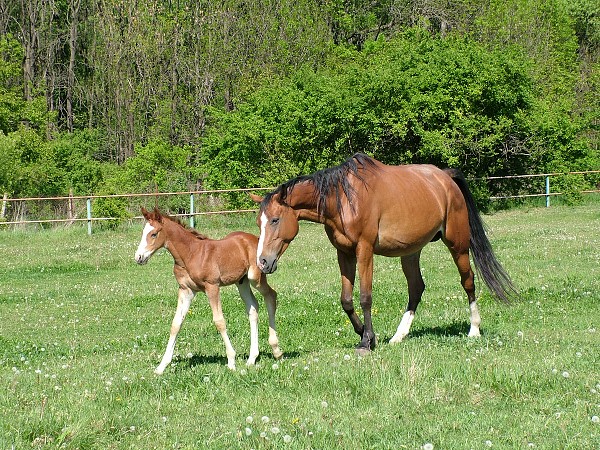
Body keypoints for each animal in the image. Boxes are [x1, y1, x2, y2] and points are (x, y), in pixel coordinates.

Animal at [135, 207, 282, 372]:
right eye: (143, 232)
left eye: (154, 234)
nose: (139, 257)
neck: (190, 254)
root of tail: (255, 239)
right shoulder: (185, 290)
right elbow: (176, 324)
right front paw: (161, 366)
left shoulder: (212, 287)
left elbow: (219, 321)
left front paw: (231, 361)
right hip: (241, 282)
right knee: (253, 307)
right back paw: (252, 358)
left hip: (255, 278)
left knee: (271, 295)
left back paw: (276, 351)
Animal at [251, 154, 516, 356]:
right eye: (258, 223)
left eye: (275, 220)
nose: (263, 262)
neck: (343, 199)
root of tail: (445, 178)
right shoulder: (344, 253)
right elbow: (346, 300)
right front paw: (365, 334)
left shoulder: (364, 250)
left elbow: (365, 297)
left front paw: (366, 340)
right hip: (411, 252)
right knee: (416, 288)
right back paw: (399, 335)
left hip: (457, 245)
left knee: (468, 281)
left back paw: (474, 329)